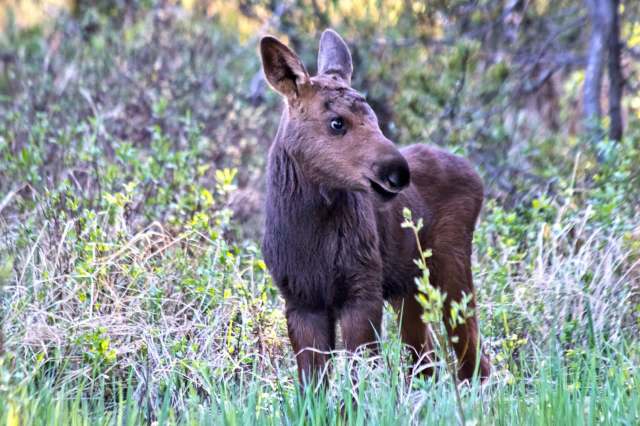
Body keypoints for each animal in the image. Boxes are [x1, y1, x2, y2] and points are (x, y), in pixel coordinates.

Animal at [259, 29, 491, 385]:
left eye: (375, 119)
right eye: (337, 122)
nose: (398, 172)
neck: (308, 234)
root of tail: (475, 175)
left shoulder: (363, 289)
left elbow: (362, 376)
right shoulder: (300, 300)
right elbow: (313, 384)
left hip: (451, 266)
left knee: (472, 356)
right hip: (408, 287)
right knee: (426, 359)